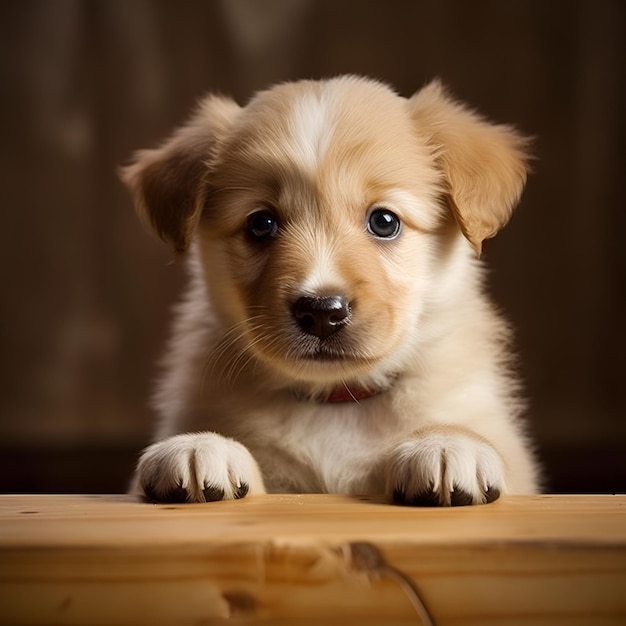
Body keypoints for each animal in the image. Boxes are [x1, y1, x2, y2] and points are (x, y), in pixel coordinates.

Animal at [120, 75, 536, 504]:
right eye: (261, 224)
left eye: (384, 221)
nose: (322, 311)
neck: (336, 401)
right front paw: (202, 445)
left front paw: (447, 443)